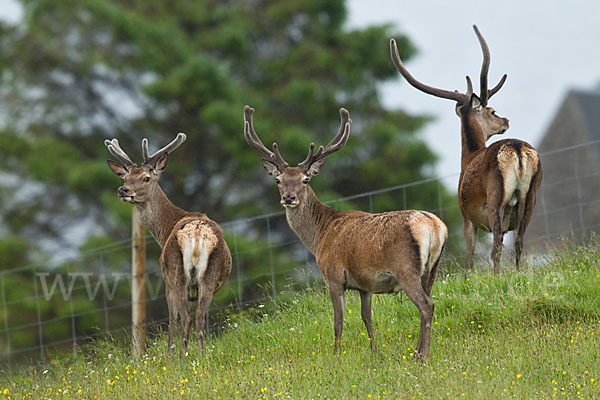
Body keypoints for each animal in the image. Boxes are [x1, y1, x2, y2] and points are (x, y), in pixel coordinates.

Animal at [105, 133, 232, 358]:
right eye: (124, 178)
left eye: (146, 178)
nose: (123, 190)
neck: (164, 229)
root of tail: (196, 234)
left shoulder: (166, 282)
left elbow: (173, 321)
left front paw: (170, 356)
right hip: (209, 274)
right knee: (199, 315)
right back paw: (200, 357)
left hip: (176, 272)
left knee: (185, 317)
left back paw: (182, 359)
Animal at [243, 104, 446, 358]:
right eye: (278, 180)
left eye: (305, 180)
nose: (288, 198)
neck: (319, 235)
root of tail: (435, 226)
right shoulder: (365, 284)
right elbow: (367, 318)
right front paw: (375, 353)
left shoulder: (333, 276)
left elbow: (338, 322)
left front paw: (336, 355)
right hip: (432, 269)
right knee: (428, 301)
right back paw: (417, 351)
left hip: (406, 268)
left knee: (427, 305)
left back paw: (422, 356)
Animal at [392, 25, 540, 274]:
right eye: (492, 111)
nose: (506, 121)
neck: (468, 157)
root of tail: (517, 149)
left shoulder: (466, 216)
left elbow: (470, 257)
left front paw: (470, 276)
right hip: (531, 196)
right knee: (519, 242)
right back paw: (518, 273)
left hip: (496, 196)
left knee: (497, 243)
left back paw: (497, 276)